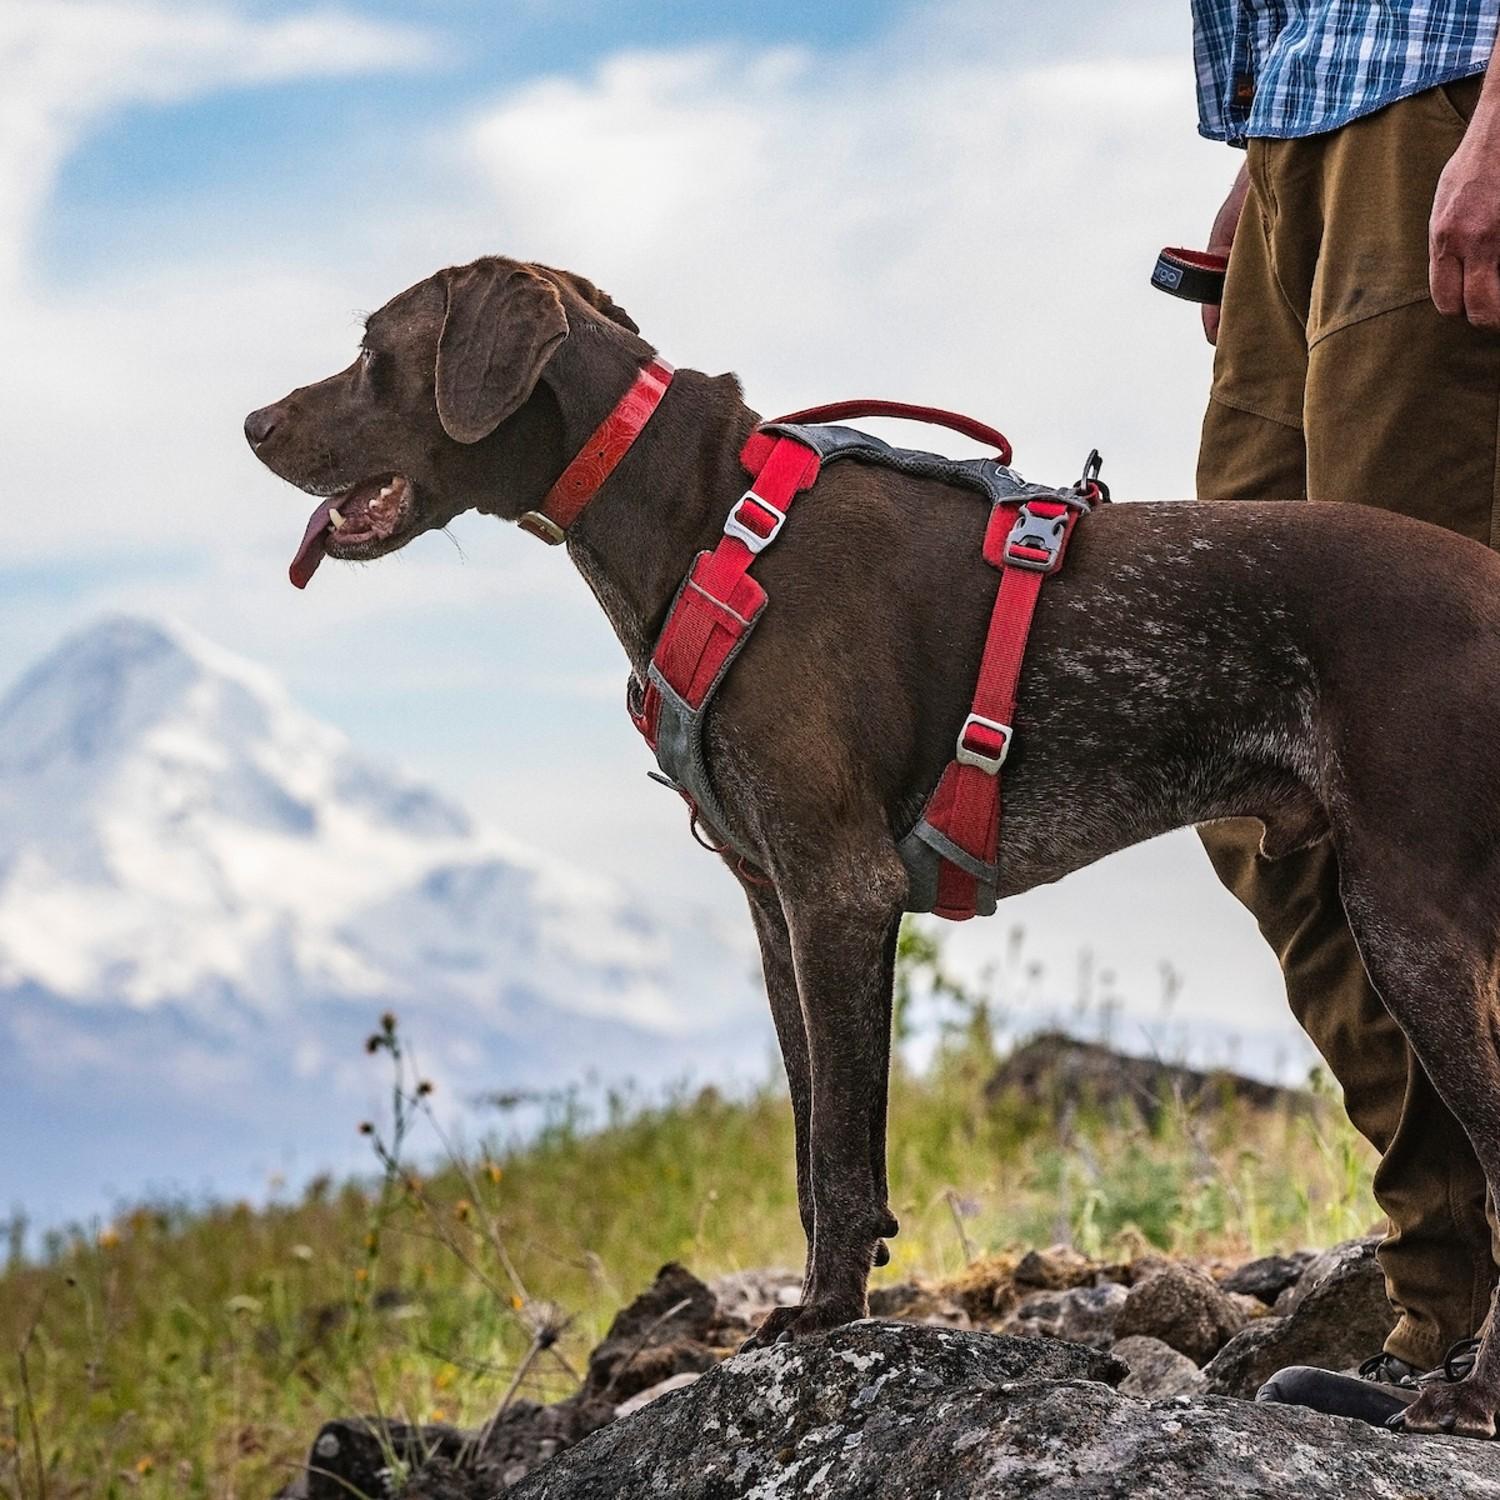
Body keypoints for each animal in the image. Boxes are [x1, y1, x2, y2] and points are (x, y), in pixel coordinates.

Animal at [249, 261, 1500, 1440]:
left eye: (373, 350)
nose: (254, 424)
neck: (700, 513)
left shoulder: (838, 891)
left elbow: (843, 1158)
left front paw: (830, 1320)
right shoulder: (777, 904)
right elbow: (820, 1141)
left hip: (1411, 922)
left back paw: (1469, 1395)